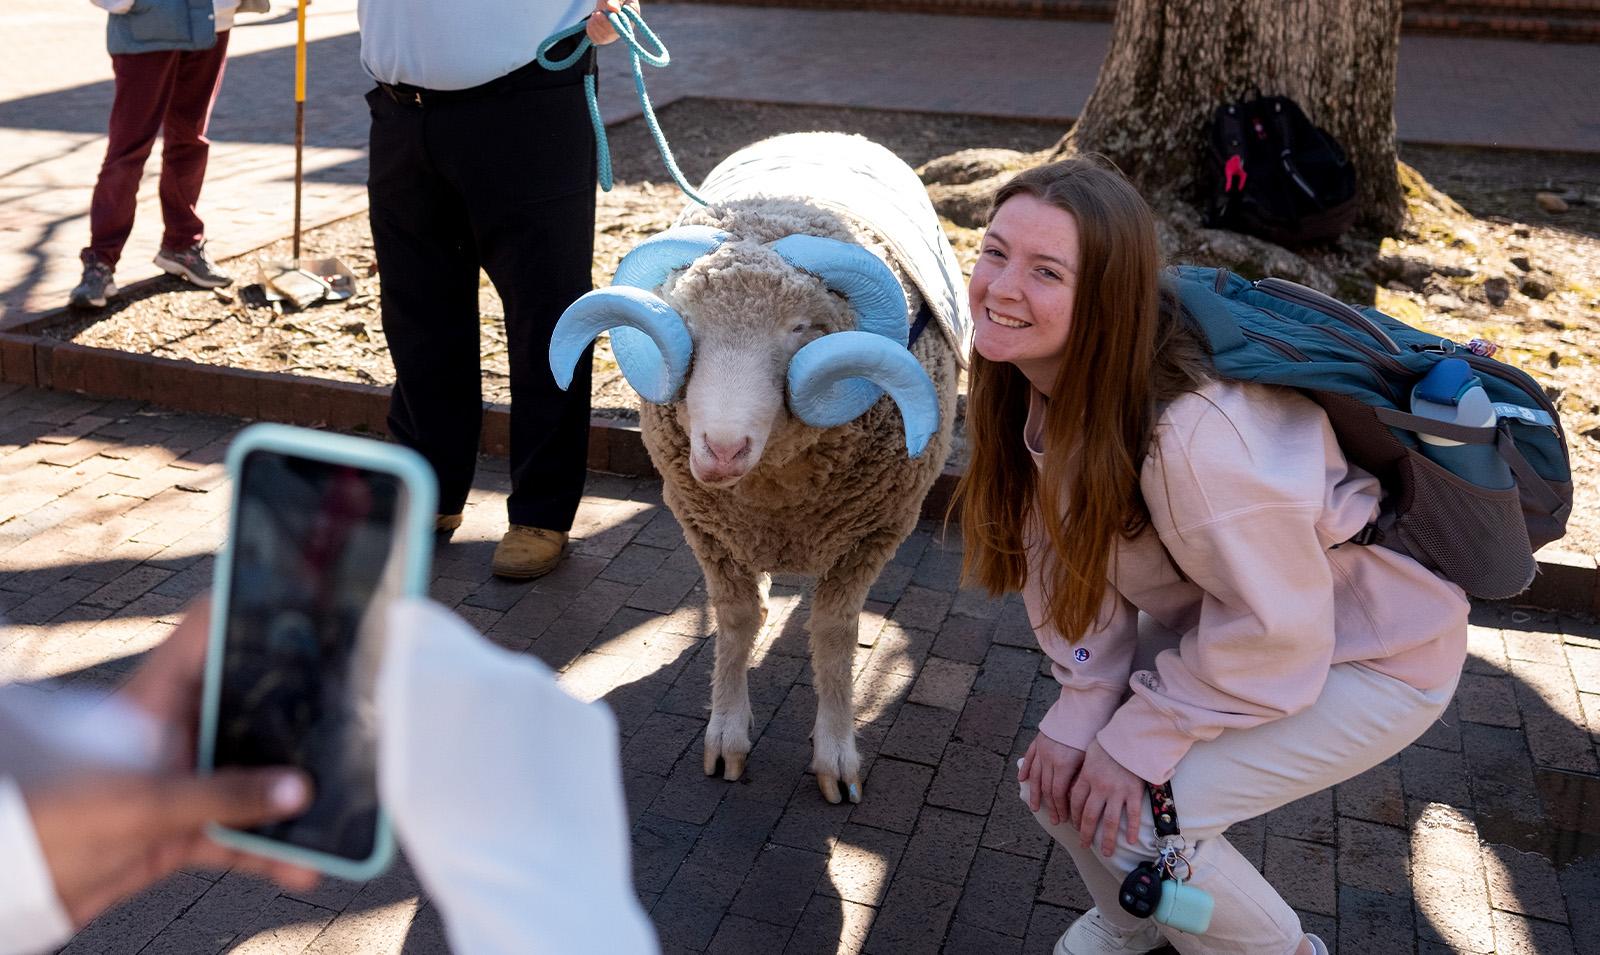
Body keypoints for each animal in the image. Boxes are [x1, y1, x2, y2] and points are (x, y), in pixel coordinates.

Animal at [550, 131, 972, 803]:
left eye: (801, 328)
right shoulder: (710, 529)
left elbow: (834, 633)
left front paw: (836, 753)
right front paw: (727, 733)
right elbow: (737, 617)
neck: (780, 496)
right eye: (684, 325)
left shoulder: (875, 534)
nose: (720, 449)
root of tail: (824, 133)